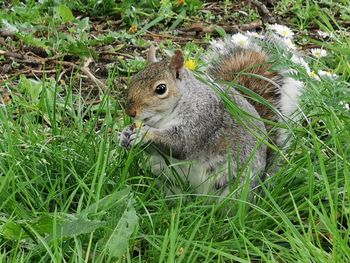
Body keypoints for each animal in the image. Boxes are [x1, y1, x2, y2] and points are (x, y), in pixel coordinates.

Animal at [119, 29, 304, 197]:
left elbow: (180, 143)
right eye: (133, 79)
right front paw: (125, 134)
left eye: (161, 89)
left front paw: (145, 133)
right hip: (165, 177)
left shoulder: (203, 120)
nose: (130, 111)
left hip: (233, 185)